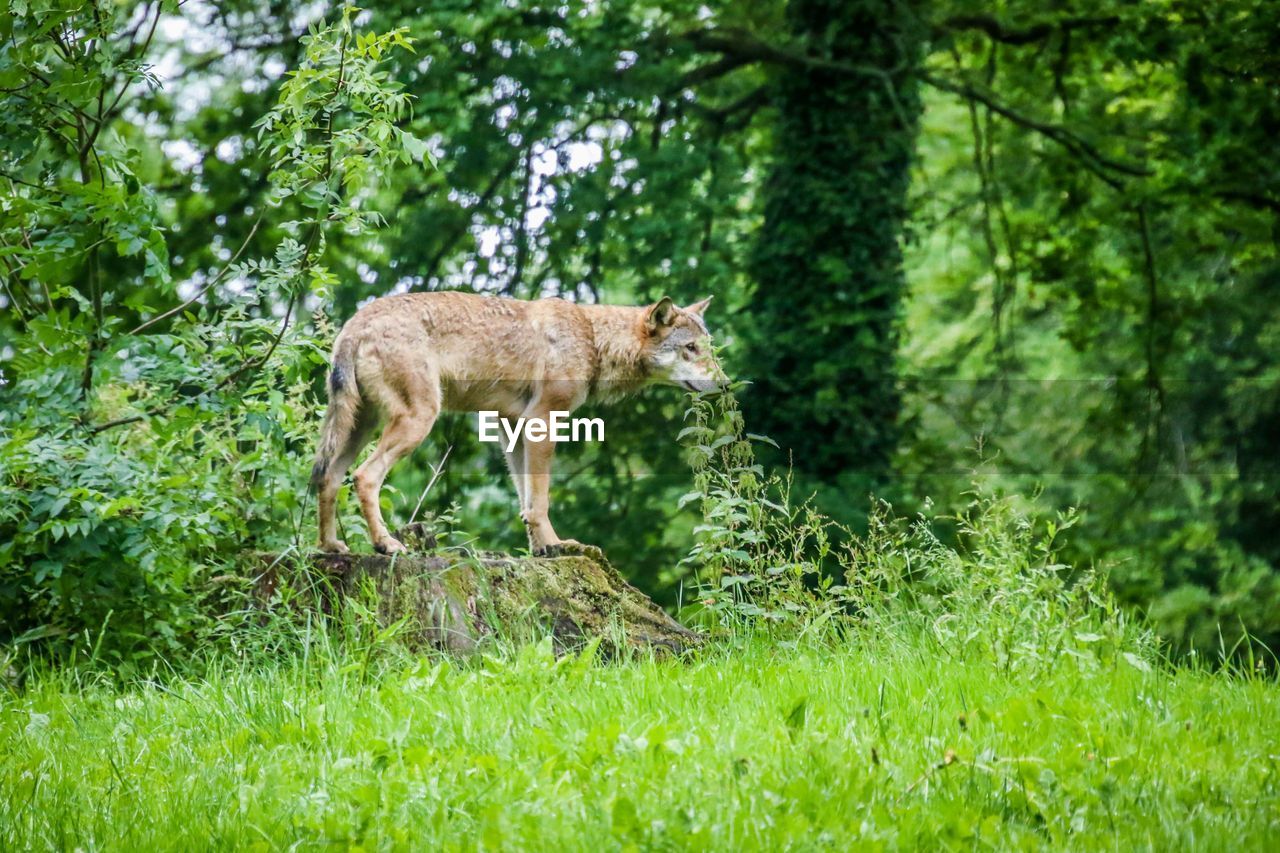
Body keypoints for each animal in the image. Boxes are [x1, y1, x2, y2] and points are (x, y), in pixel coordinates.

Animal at [309, 292, 727, 555]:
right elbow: (540, 501)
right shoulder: (543, 421)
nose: (725, 384)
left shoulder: (512, 428)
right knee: (364, 477)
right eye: (690, 349)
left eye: (707, 349)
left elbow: (525, 501)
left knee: (328, 477)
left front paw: (541, 549)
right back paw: (385, 544)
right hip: (416, 421)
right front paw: (556, 545)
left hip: (361, 427)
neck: (592, 338)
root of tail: (354, 324)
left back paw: (330, 547)